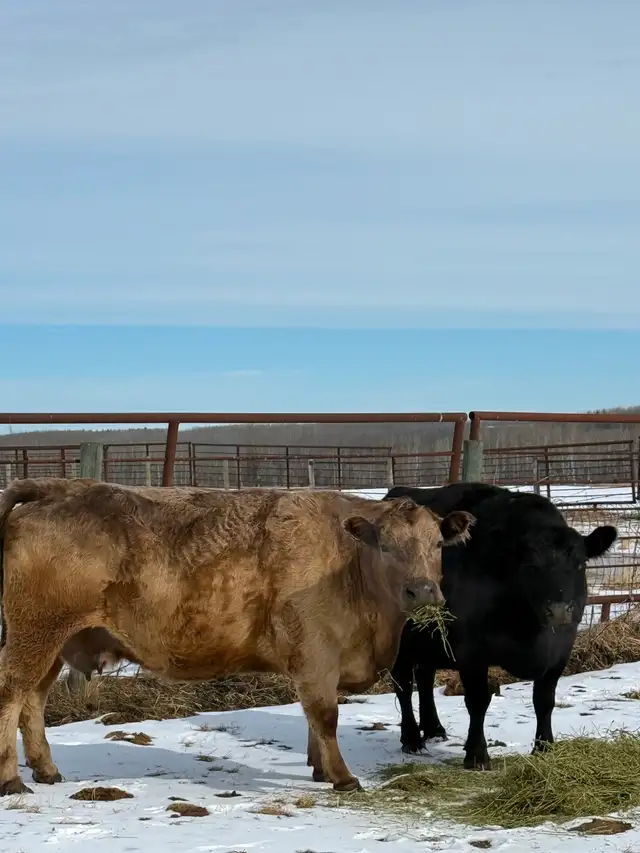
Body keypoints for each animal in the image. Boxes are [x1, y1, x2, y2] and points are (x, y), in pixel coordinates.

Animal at [0, 477, 474, 796]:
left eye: (437, 544)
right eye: (386, 546)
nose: (422, 591)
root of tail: (56, 488)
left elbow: (313, 720)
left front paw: (320, 769)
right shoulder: (316, 655)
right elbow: (325, 715)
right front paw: (342, 777)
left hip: (54, 643)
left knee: (34, 700)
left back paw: (46, 770)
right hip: (35, 633)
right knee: (12, 694)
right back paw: (11, 779)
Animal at [383, 482, 617, 770]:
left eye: (580, 564)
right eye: (530, 567)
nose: (560, 611)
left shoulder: (561, 649)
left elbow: (544, 700)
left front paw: (544, 748)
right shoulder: (471, 652)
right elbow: (477, 701)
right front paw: (477, 754)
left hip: (429, 638)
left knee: (424, 679)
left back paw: (434, 729)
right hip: (400, 643)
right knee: (404, 685)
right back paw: (412, 738)